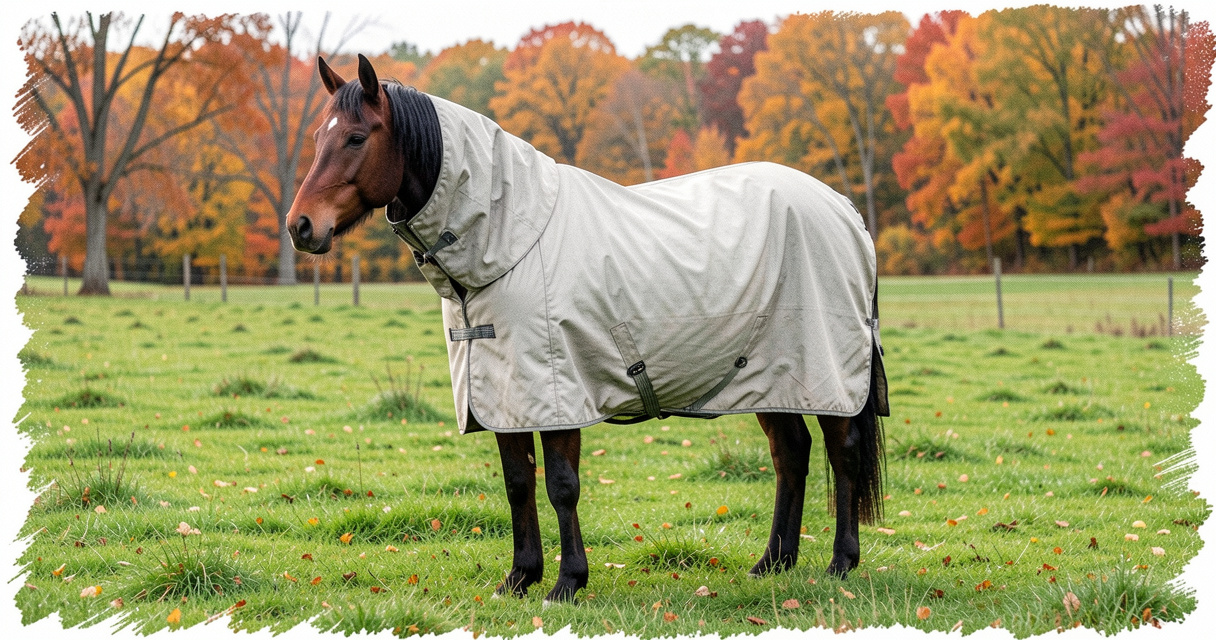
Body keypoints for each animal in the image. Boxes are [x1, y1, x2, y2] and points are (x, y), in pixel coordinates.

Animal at [287, 54, 889, 604]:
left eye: (356, 137)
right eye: (318, 136)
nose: (300, 226)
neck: (510, 238)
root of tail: (844, 209)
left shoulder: (558, 392)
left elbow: (561, 486)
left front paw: (567, 582)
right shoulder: (504, 394)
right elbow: (517, 483)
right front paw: (519, 578)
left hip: (828, 370)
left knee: (842, 452)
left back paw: (840, 563)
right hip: (771, 375)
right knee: (791, 454)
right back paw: (772, 563)